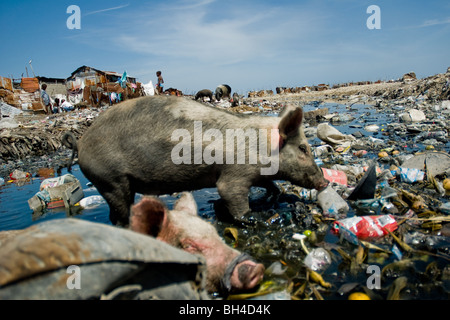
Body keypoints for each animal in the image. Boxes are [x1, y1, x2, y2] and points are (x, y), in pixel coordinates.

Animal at [64, 95, 326, 225]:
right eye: (303, 148)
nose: (324, 182)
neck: (261, 147)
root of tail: (80, 143)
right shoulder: (234, 175)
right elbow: (233, 198)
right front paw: (253, 218)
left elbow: (270, 184)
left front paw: (274, 195)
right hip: (110, 180)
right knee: (118, 213)